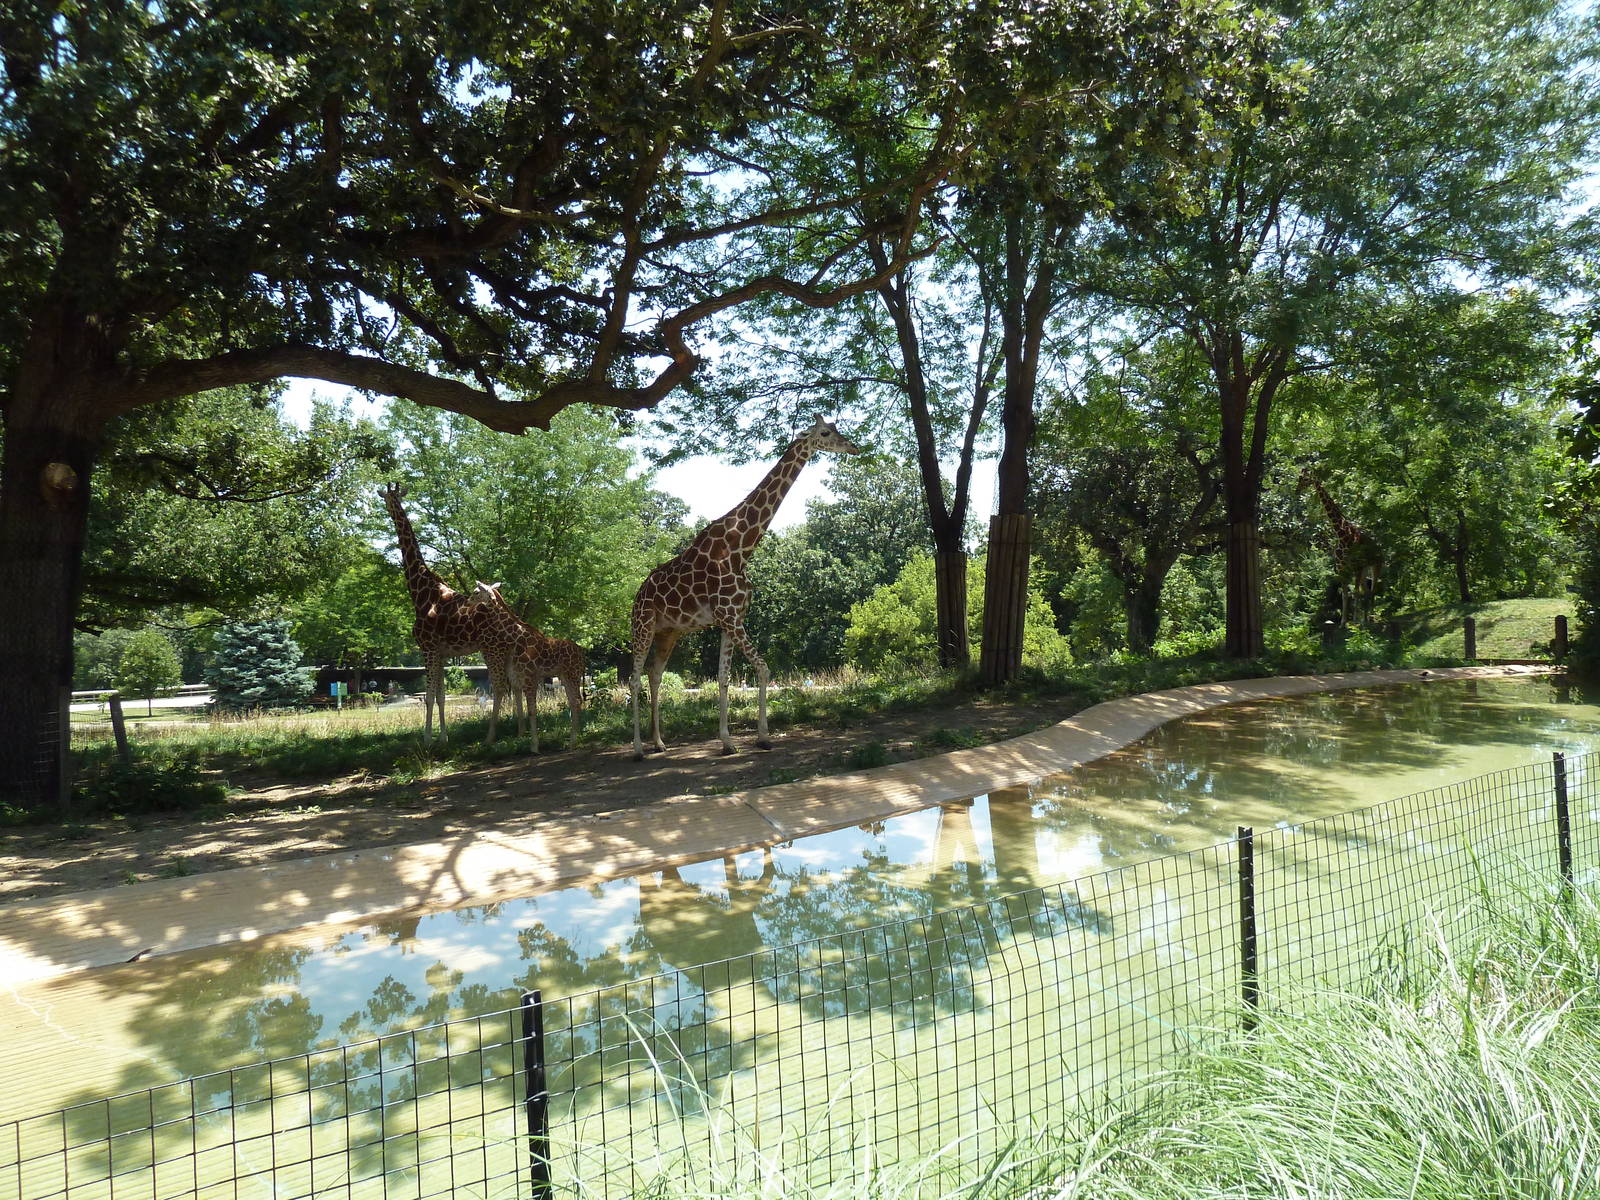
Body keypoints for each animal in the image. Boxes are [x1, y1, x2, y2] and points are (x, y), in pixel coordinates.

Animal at [380, 483, 519, 744]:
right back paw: (515, 727)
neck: (422, 591)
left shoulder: (428, 648)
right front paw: (443, 737)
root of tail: (514, 622)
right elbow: (440, 696)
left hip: (492, 649)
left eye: (390, 499)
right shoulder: (443, 653)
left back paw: (497, 733)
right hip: (504, 651)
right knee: (514, 685)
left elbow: (429, 695)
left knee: (502, 686)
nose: (390, 509)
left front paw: (427, 739)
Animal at [467, 582, 587, 752]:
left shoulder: (530, 676)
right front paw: (529, 743)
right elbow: (524, 709)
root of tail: (582, 654)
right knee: (573, 701)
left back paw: (573, 742)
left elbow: (532, 710)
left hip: (573, 674)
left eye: (476, 592)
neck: (516, 639)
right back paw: (572, 742)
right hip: (564, 676)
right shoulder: (520, 677)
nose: (468, 601)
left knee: (576, 701)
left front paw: (534, 747)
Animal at [630, 417, 861, 759]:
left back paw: (659, 742)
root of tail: (637, 595)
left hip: (668, 632)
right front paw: (763, 737)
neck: (741, 548)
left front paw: (728, 742)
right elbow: (763, 669)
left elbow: (723, 678)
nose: (853, 447)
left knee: (654, 675)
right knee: (634, 679)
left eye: (835, 426)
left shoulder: (732, 620)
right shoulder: (730, 618)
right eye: (825, 433)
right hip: (643, 626)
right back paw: (638, 749)